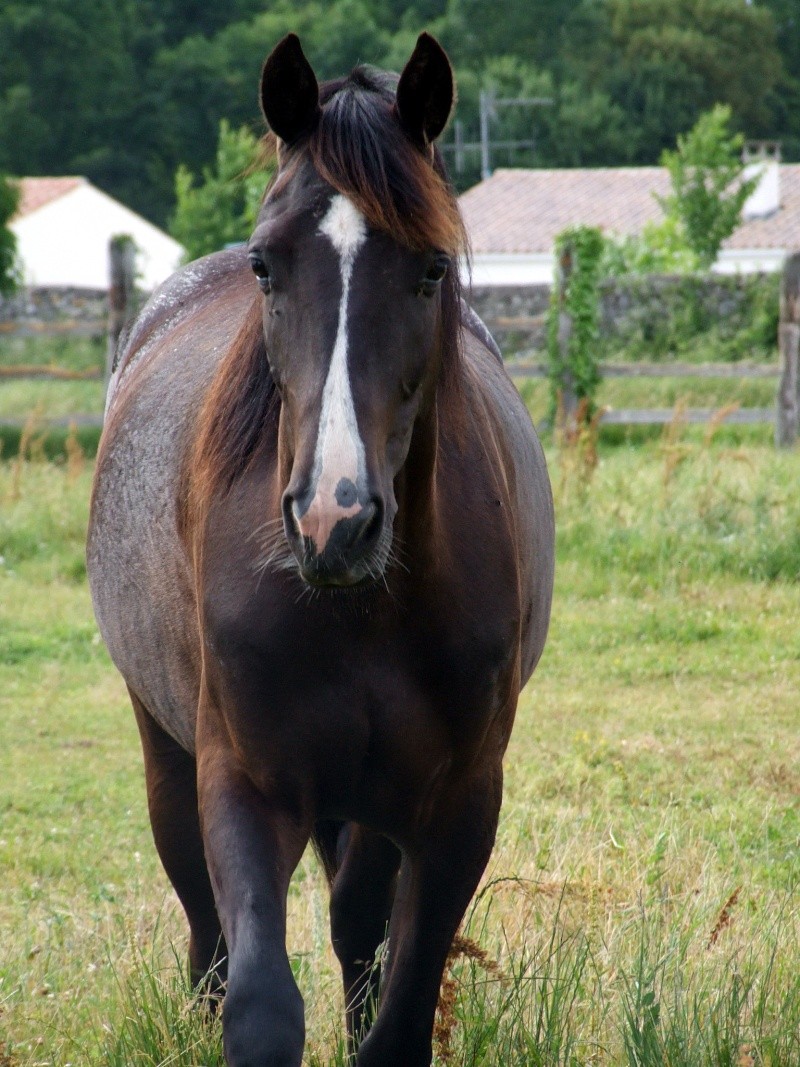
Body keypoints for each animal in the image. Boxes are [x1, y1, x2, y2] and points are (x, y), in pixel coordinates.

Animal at [86, 31, 550, 1067]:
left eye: (431, 268)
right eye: (268, 266)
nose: (335, 519)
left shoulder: (458, 806)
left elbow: (396, 1007)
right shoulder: (245, 781)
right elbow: (261, 1001)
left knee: (354, 920)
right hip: (167, 754)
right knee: (210, 933)